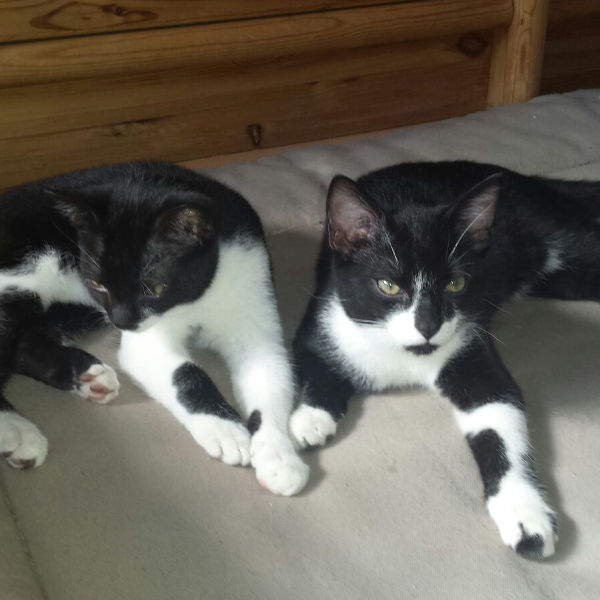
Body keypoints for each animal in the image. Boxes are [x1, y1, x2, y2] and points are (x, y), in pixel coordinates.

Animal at [0, 161, 308, 496]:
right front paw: (225, 429)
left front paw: (279, 456)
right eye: (98, 284)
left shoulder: (253, 293)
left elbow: (269, 373)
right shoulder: (145, 338)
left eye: (154, 289)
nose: (121, 321)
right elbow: (185, 372)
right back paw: (17, 430)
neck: (200, 294)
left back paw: (86, 377)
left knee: (22, 345)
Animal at [290, 160, 600, 557]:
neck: (401, 355)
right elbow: (314, 362)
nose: (428, 325)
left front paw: (523, 513)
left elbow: (498, 414)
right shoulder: (322, 318)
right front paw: (311, 418)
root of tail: (525, 179)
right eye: (388, 286)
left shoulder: (471, 349)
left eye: (456, 284)